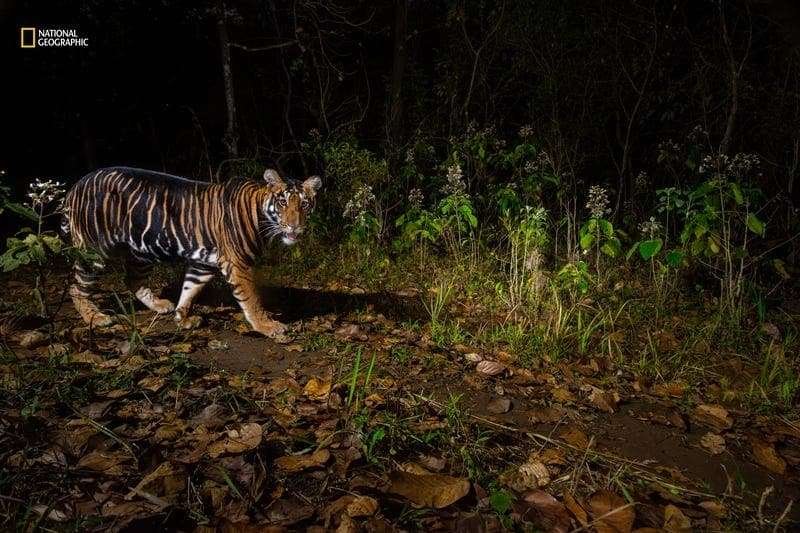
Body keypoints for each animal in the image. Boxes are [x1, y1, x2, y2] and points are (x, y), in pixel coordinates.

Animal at [62, 166, 321, 337]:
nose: (295, 226)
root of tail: (76, 185)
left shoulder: (203, 264)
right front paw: (267, 326)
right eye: (283, 202)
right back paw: (96, 318)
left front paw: (182, 318)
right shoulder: (238, 264)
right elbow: (252, 299)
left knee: (133, 279)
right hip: (94, 250)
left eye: (304, 204)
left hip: (142, 250)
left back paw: (160, 305)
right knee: (76, 287)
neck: (261, 216)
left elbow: (189, 290)